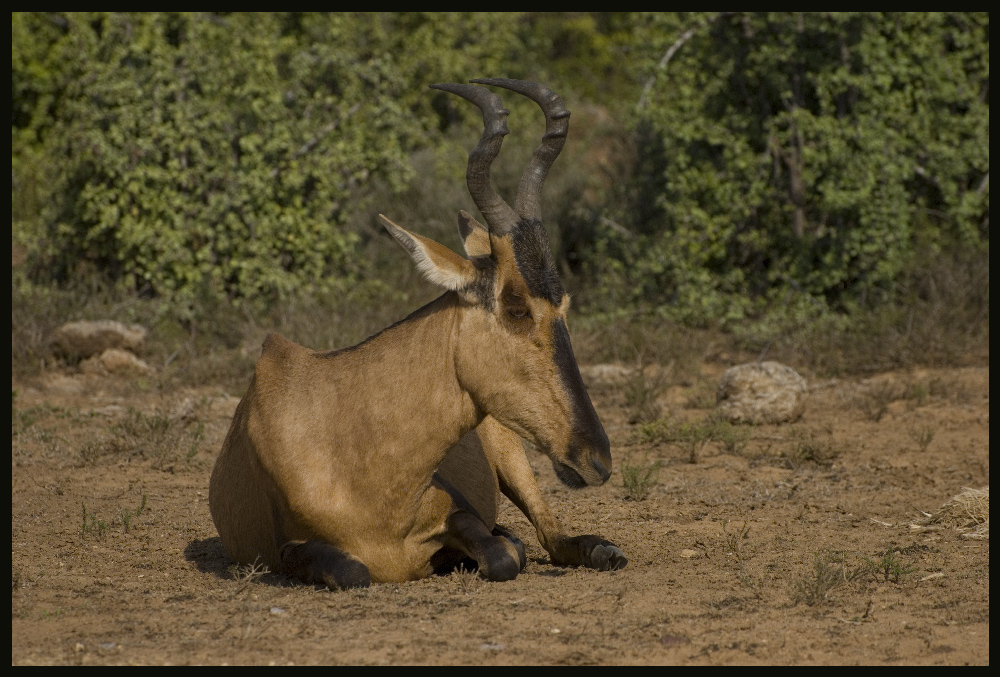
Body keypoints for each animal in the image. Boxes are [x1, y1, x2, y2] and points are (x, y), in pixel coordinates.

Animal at [208, 78, 628, 588]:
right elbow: (353, 570)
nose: (597, 459)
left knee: (553, 538)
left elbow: (506, 554)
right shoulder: (283, 550)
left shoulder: (461, 514)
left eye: (564, 302)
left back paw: (605, 550)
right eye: (516, 306)